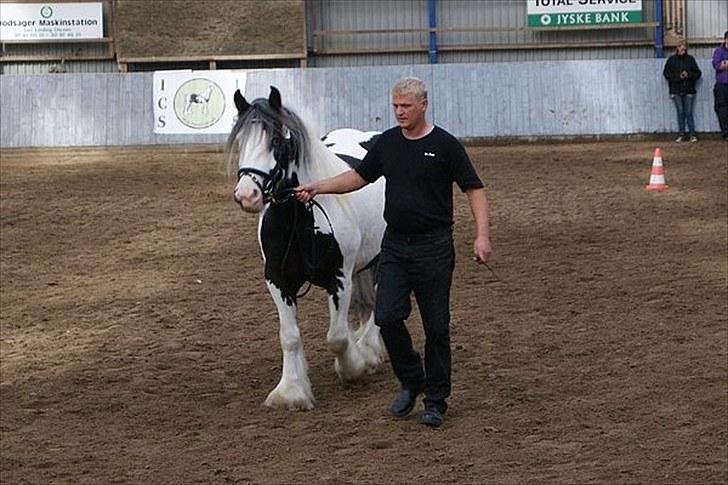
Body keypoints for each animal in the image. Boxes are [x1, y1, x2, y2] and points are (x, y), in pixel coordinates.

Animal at [225, 87, 386, 408]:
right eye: (240, 141)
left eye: (276, 141)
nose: (247, 195)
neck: (300, 218)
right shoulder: (278, 280)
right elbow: (289, 336)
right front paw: (291, 391)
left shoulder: (339, 278)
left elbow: (337, 337)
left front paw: (354, 367)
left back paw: (369, 350)